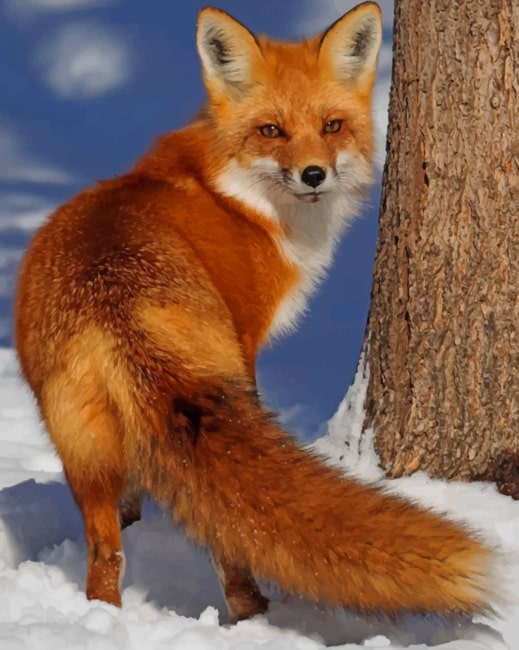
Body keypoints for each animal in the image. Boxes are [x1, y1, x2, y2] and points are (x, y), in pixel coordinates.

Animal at [15, 2, 496, 623]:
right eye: (271, 131)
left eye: (332, 126)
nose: (314, 174)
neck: (233, 196)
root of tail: (116, 301)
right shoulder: (246, 341)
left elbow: (132, 503)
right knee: (227, 536)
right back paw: (253, 613)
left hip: (81, 449)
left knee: (105, 555)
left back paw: (105, 619)